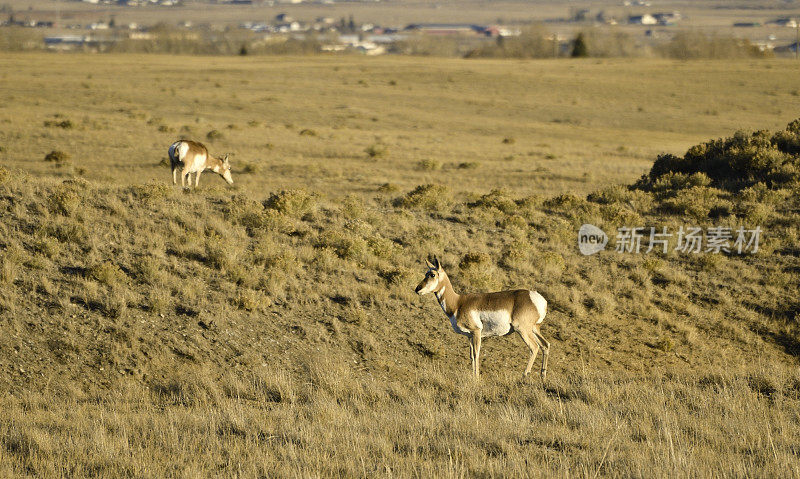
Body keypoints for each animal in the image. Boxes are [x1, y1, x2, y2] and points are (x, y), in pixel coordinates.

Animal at [412, 256, 552, 380]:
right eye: (426, 273)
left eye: (432, 275)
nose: (417, 289)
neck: (458, 302)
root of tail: (537, 298)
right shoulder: (469, 336)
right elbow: (471, 356)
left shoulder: (476, 332)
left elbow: (476, 354)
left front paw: (476, 378)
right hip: (534, 329)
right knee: (545, 345)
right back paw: (543, 377)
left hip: (522, 329)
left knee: (534, 347)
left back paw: (524, 375)